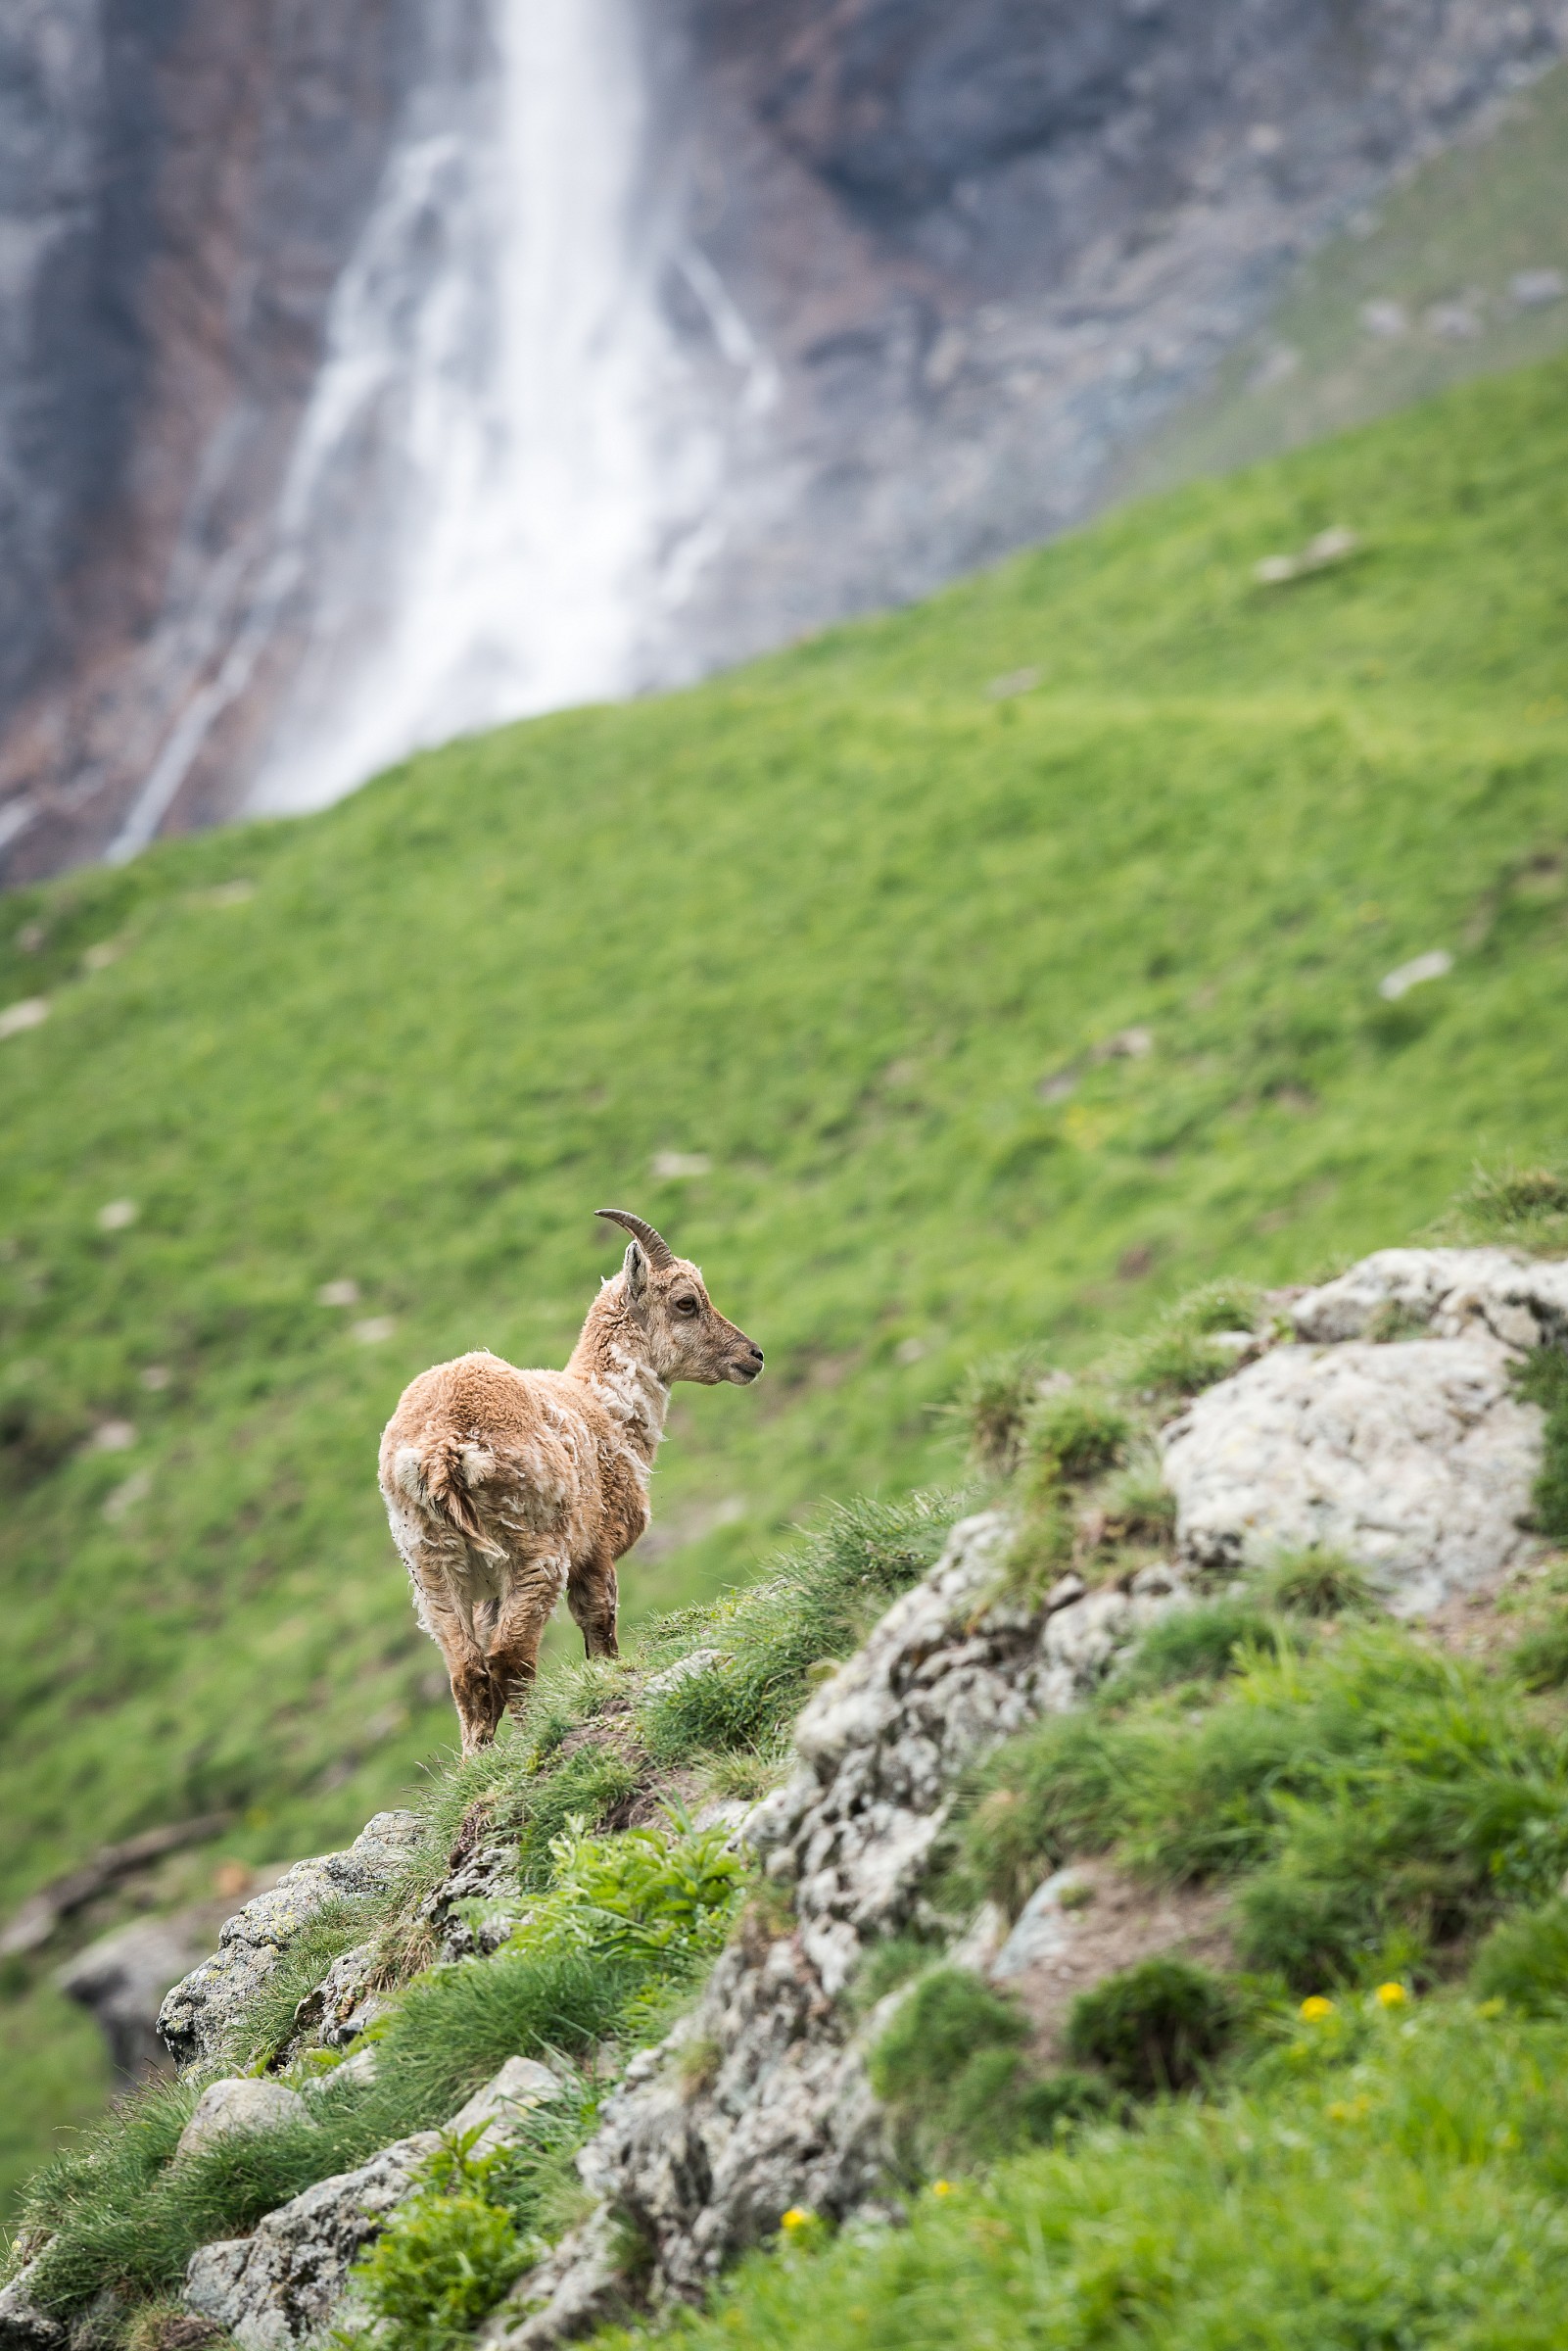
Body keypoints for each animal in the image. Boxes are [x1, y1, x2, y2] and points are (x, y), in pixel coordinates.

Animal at [378, 1209, 763, 1754]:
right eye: (687, 1302)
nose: (753, 1355)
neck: (607, 1405)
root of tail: (445, 1449)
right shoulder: (595, 1553)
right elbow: (599, 1627)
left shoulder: (487, 1591)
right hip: (535, 1551)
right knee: (511, 1658)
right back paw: (532, 1736)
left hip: (432, 1566)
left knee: (468, 1670)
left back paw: (476, 1760)